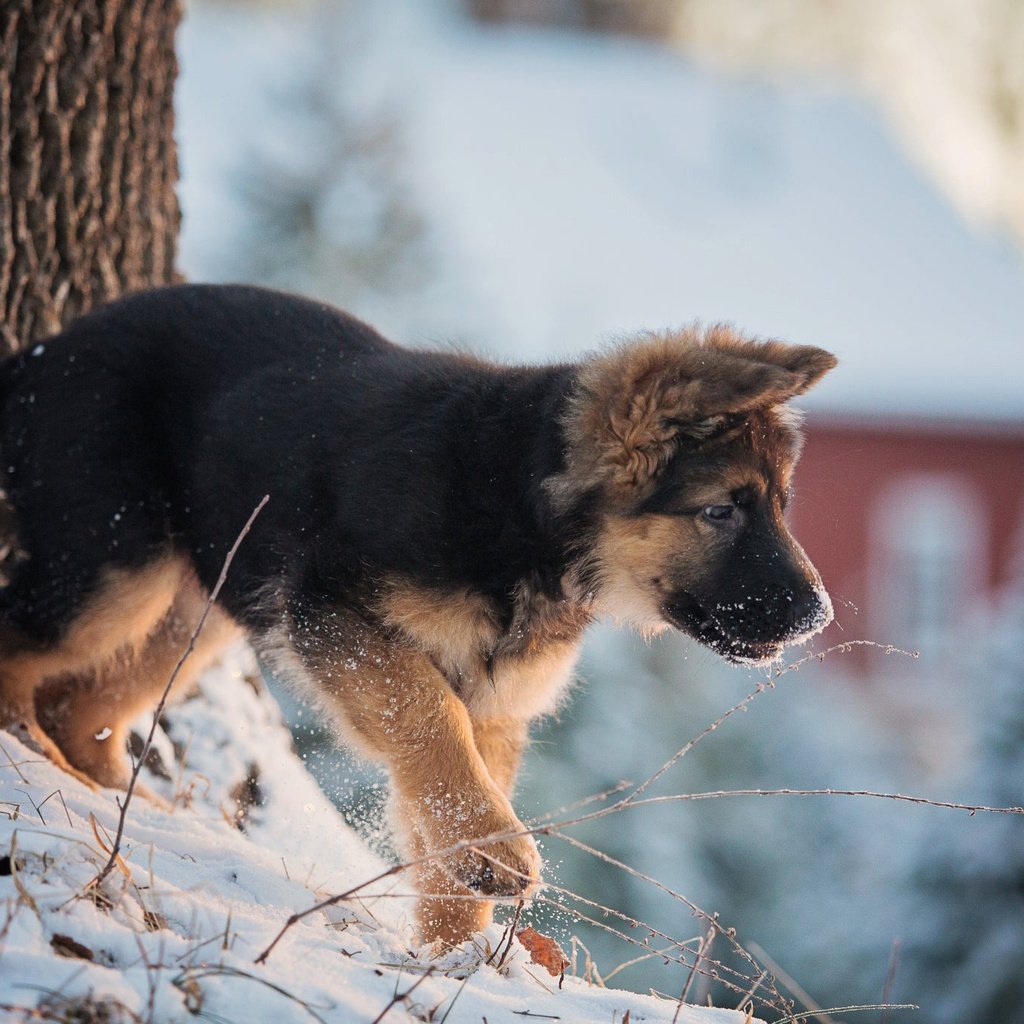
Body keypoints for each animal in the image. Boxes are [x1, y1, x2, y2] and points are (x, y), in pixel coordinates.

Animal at [0, 286, 835, 942]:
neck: (519, 507)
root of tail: (45, 348)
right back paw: (29, 752)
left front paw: (451, 956)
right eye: (721, 510)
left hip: (198, 607)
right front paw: (495, 853)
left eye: (783, 506)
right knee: (23, 644)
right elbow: (430, 717)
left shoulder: (495, 703)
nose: (818, 620)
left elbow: (442, 787)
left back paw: (119, 800)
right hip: (115, 567)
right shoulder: (336, 609)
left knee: (84, 702)